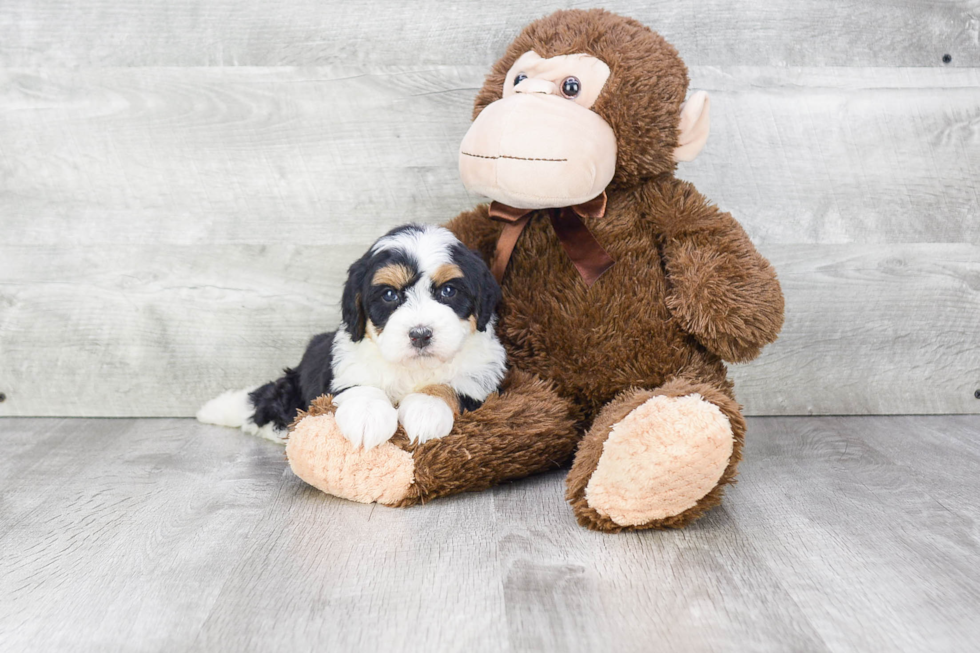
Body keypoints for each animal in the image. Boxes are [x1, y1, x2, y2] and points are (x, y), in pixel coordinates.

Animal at [196, 225, 510, 448]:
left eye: (448, 291)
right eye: (389, 295)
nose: (420, 335)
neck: (413, 367)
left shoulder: (480, 380)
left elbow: (448, 387)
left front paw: (426, 410)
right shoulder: (345, 367)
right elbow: (363, 386)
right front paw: (367, 417)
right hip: (291, 387)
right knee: (266, 405)